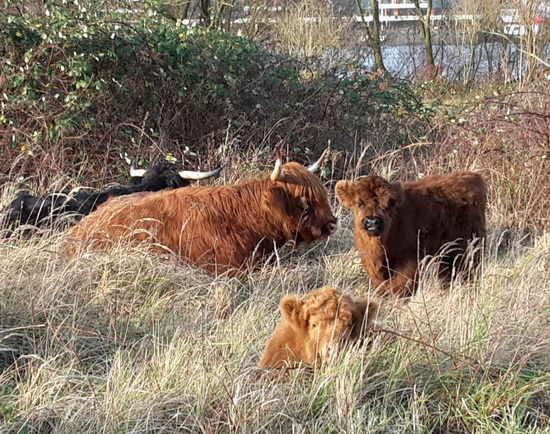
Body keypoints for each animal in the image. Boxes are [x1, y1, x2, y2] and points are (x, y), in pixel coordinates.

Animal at [336, 173, 488, 298]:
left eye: (388, 205)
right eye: (359, 203)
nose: (372, 221)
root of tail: (473, 177)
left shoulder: (409, 261)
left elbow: (401, 285)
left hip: (466, 248)